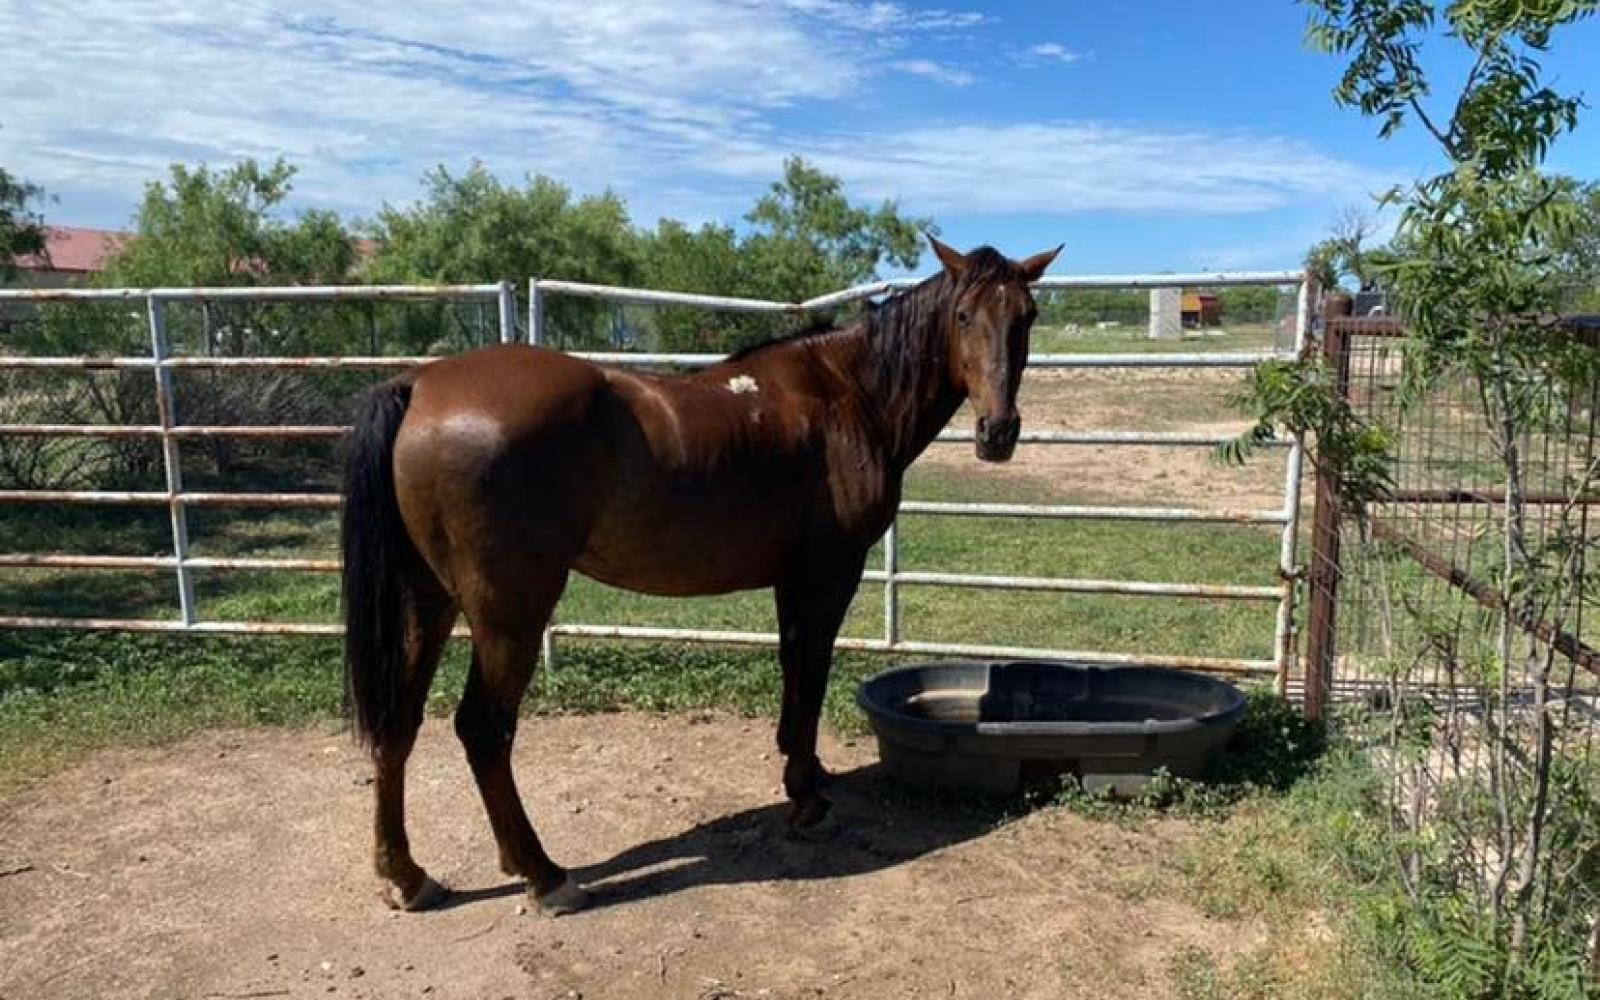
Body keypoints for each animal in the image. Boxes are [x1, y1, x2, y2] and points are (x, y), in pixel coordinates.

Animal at [339, 237, 1060, 915]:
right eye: (964, 316)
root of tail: (421, 387)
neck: (848, 393)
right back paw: (545, 875)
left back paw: (405, 875)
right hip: (507, 613)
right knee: (483, 731)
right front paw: (807, 799)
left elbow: (794, 672)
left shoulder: (792, 581)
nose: (998, 433)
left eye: (1027, 315)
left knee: (399, 722)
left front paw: (805, 773)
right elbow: (811, 674)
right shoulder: (829, 573)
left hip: (429, 602)